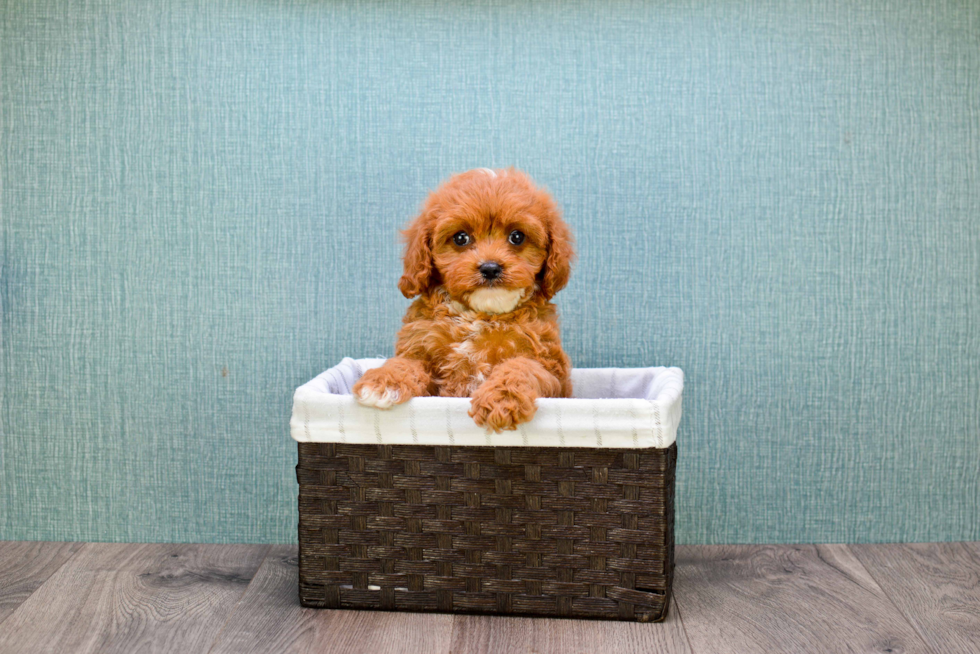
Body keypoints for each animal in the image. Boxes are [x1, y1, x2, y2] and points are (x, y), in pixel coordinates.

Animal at [352, 169, 576, 434]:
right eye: (461, 238)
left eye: (517, 237)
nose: (490, 268)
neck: (480, 314)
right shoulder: (420, 349)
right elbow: (404, 362)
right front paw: (381, 382)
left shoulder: (550, 367)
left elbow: (521, 368)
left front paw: (500, 400)